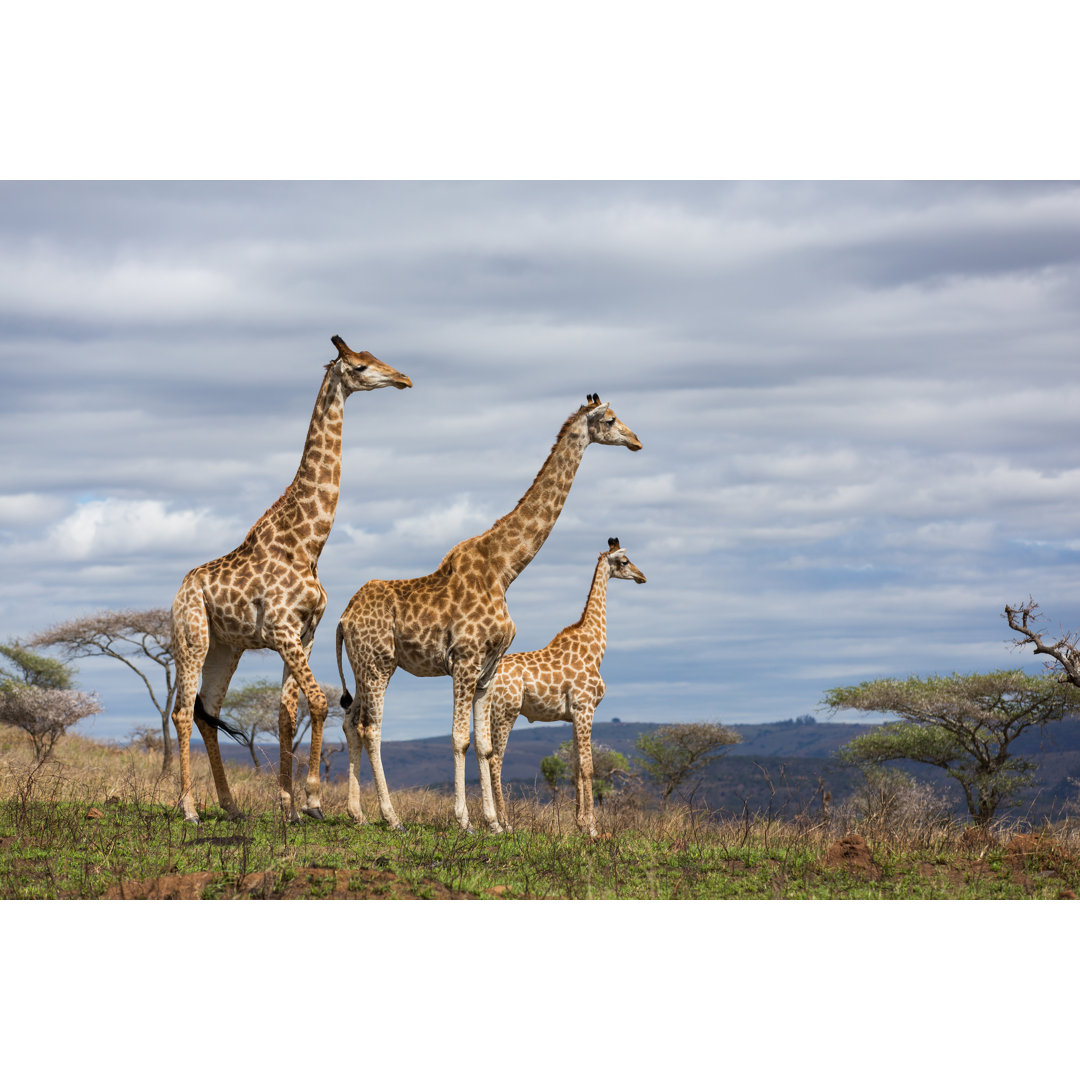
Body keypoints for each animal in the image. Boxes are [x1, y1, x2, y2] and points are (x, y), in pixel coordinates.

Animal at [170, 332, 410, 820]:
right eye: (360, 366)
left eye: (374, 357)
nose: (403, 379)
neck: (307, 543)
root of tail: (180, 590)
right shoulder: (282, 630)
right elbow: (318, 702)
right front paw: (313, 800)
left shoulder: (305, 633)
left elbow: (287, 714)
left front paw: (289, 807)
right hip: (193, 638)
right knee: (183, 712)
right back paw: (188, 808)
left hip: (226, 648)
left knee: (207, 711)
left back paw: (231, 806)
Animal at [492, 537, 648, 833]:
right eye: (624, 561)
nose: (642, 576)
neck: (595, 648)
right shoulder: (585, 707)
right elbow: (588, 767)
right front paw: (592, 826)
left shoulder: (574, 714)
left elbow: (576, 766)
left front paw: (579, 823)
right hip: (506, 711)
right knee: (495, 758)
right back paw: (505, 824)